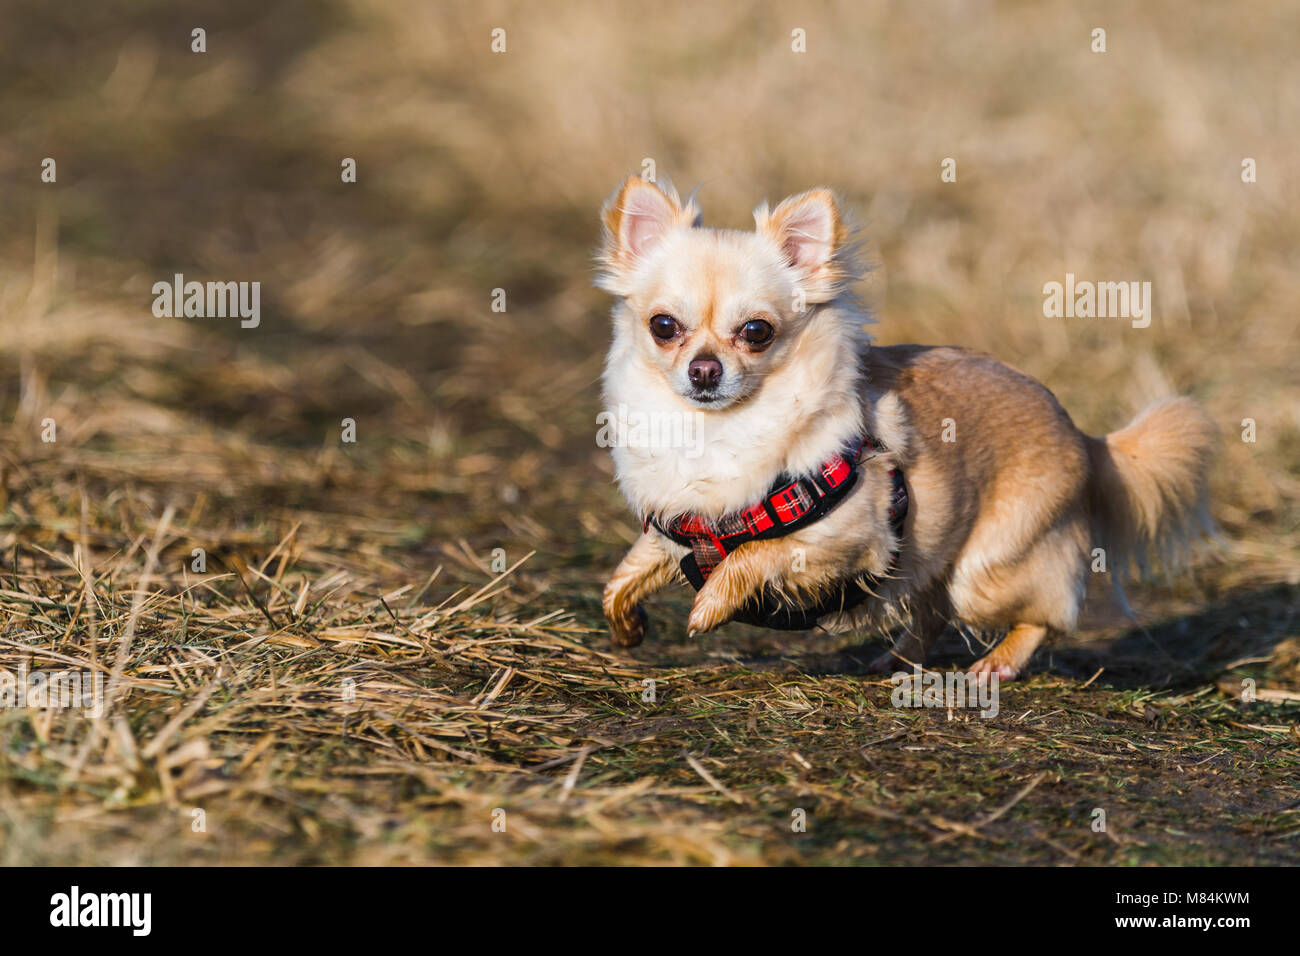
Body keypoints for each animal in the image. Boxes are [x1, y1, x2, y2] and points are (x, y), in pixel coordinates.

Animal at [598, 174, 1216, 681]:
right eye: (663, 327)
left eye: (755, 332)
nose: (704, 370)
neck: (712, 430)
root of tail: (1087, 441)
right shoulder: (675, 523)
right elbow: (626, 572)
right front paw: (626, 624)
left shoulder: (851, 541)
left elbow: (753, 556)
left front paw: (710, 604)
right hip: (931, 558)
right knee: (932, 613)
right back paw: (895, 659)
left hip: (986, 570)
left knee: (1043, 617)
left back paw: (995, 665)